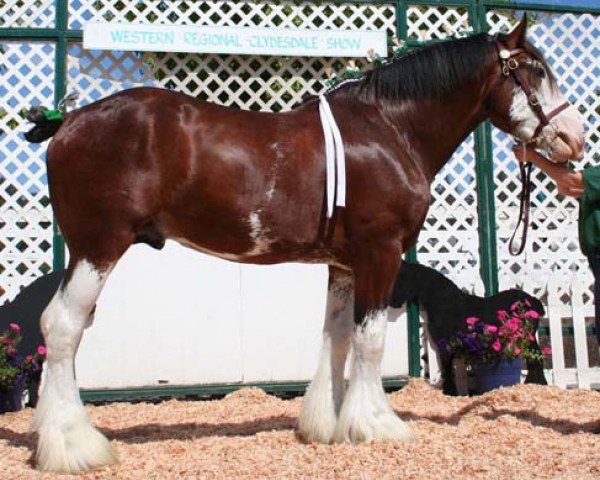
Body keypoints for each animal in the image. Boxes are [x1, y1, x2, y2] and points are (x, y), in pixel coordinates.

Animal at [390, 262, 548, 394]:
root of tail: (533, 301)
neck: (443, 302)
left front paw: (450, 392)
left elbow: (447, 369)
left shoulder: (445, 345)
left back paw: (537, 383)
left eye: (398, 279)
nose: (392, 302)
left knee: (535, 357)